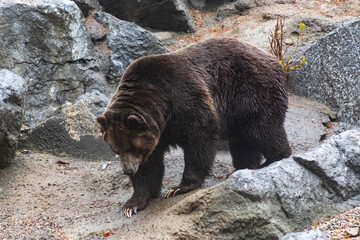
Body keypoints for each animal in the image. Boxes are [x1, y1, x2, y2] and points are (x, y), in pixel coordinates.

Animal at [96, 37, 292, 218]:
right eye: (116, 149)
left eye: (132, 147)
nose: (128, 170)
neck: (162, 106)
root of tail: (272, 58)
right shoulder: (158, 131)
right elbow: (149, 165)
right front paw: (133, 204)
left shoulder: (184, 98)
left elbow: (199, 139)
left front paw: (179, 187)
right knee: (243, 143)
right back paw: (242, 169)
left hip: (251, 92)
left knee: (263, 130)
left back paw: (273, 159)